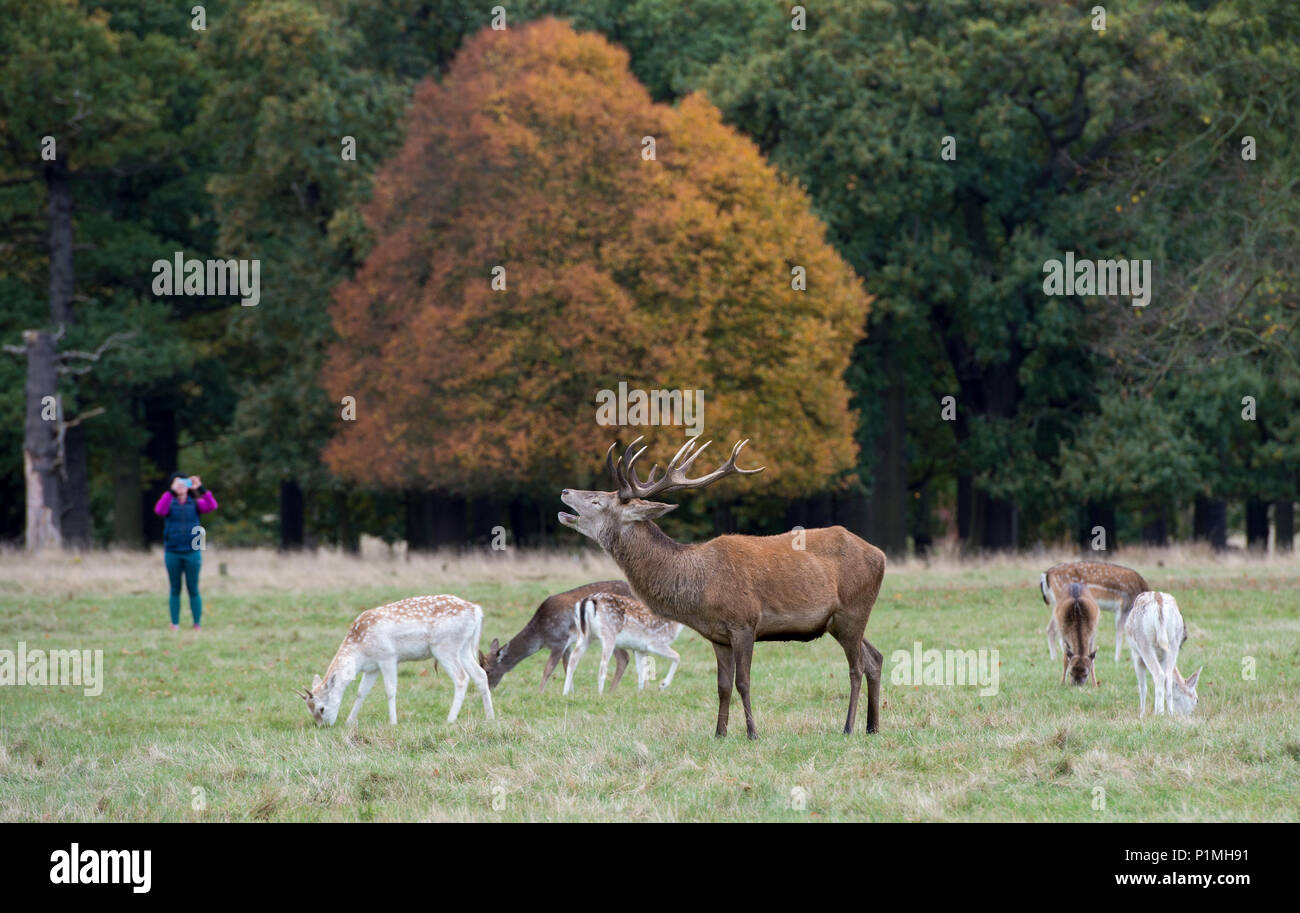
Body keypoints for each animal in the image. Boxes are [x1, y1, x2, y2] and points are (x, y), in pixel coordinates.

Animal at [297, 593, 493, 728]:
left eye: (321, 708)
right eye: (308, 709)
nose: (323, 726)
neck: (359, 650)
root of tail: (477, 610)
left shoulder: (388, 657)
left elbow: (390, 690)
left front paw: (393, 722)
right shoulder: (372, 668)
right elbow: (361, 692)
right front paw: (349, 721)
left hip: (445, 647)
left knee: (462, 678)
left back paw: (450, 719)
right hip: (464, 648)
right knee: (480, 675)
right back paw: (490, 717)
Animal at [480, 582, 637, 697]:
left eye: (488, 670)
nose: (487, 689)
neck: (541, 636)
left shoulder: (560, 640)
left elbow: (548, 669)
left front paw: (539, 693)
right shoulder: (567, 645)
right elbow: (567, 667)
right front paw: (570, 693)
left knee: (624, 657)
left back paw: (611, 692)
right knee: (624, 657)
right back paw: (611, 691)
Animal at [553, 431, 889, 738]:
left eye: (598, 500)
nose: (565, 490)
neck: (699, 586)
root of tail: (880, 554)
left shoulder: (744, 622)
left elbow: (743, 681)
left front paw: (753, 733)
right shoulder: (718, 635)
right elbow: (723, 685)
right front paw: (720, 733)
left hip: (853, 610)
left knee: (857, 666)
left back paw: (848, 727)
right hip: (839, 621)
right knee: (875, 658)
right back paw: (873, 726)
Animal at [1123, 593, 1201, 723]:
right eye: (1197, 700)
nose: (1189, 716)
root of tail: (1159, 604)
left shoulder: (1136, 656)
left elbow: (1142, 687)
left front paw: (1141, 715)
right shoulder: (1163, 657)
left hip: (1144, 644)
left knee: (1159, 675)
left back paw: (1158, 714)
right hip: (1174, 642)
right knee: (1167, 676)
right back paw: (1169, 713)